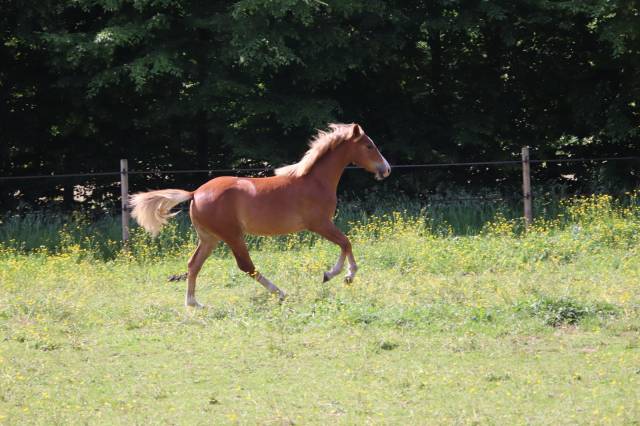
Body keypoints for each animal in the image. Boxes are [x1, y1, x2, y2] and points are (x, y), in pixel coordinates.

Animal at [129, 123, 391, 307]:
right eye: (369, 146)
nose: (386, 169)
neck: (315, 181)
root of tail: (195, 193)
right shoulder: (320, 224)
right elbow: (346, 242)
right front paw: (340, 275)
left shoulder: (322, 225)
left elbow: (345, 244)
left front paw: (338, 275)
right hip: (232, 236)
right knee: (246, 266)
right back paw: (281, 293)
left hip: (209, 238)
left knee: (194, 264)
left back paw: (194, 304)